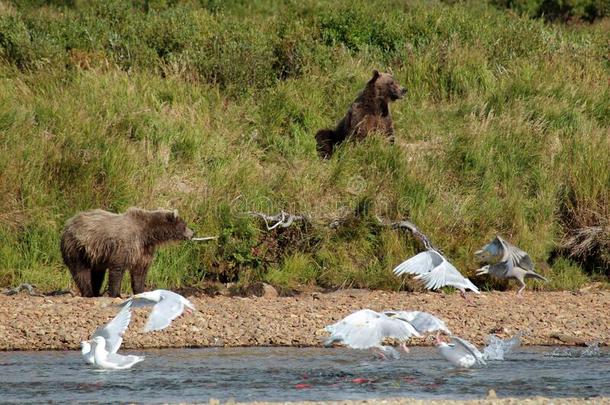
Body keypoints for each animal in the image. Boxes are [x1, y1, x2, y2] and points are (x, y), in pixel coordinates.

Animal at [59, 205, 192, 296]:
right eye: (184, 225)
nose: (192, 233)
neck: (148, 235)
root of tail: (68, 223)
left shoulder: (143, 251)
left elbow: (140, 272)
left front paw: (140, 291)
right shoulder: (125, 245)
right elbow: (118, 269)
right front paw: (115, 293)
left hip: (96, 255)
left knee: (98, 273)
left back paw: (96, 291)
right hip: (77, 247)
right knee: (81, 271)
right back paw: (89, 292)